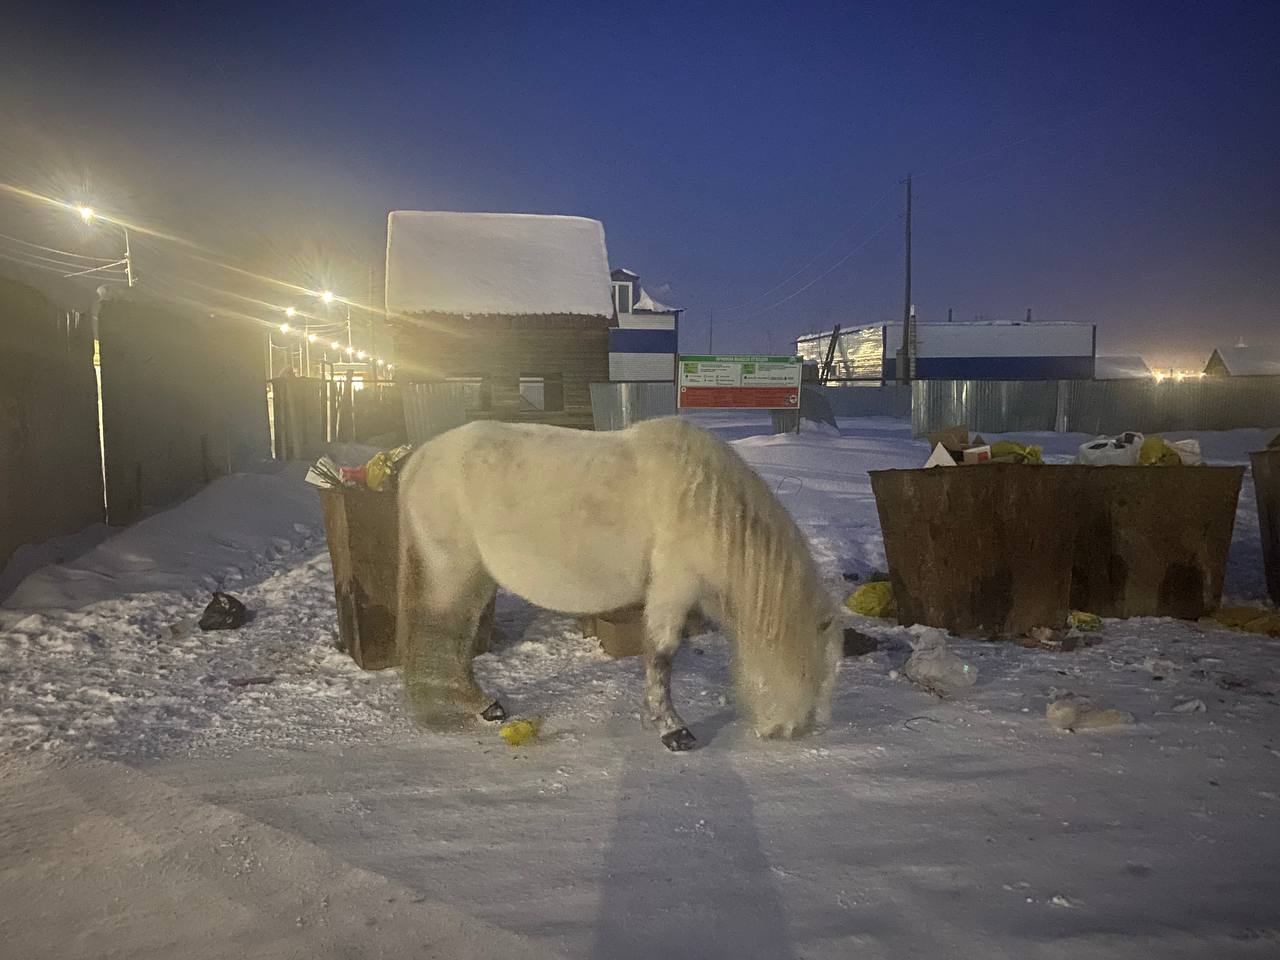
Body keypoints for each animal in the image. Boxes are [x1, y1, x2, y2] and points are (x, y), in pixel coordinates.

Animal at [396, 417, 839, 757]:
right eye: (811, 669)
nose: (792, 730)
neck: (708, 505)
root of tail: (418, 461)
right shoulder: (672, 587)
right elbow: (661, 656)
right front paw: (672, 730)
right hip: (453, 571)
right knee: (441, 634)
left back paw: (484, 706)